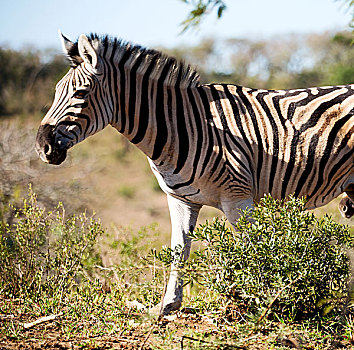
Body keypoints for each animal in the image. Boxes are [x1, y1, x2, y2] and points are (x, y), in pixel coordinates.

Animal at [36, 32, 354, 316]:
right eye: (55, 91)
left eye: (80, 93)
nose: (42, 146)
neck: (180, 127)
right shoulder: (180, 198)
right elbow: (179, 248)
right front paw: (167, 305)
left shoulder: (237, 196)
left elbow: (249, 247)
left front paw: (260, 301)